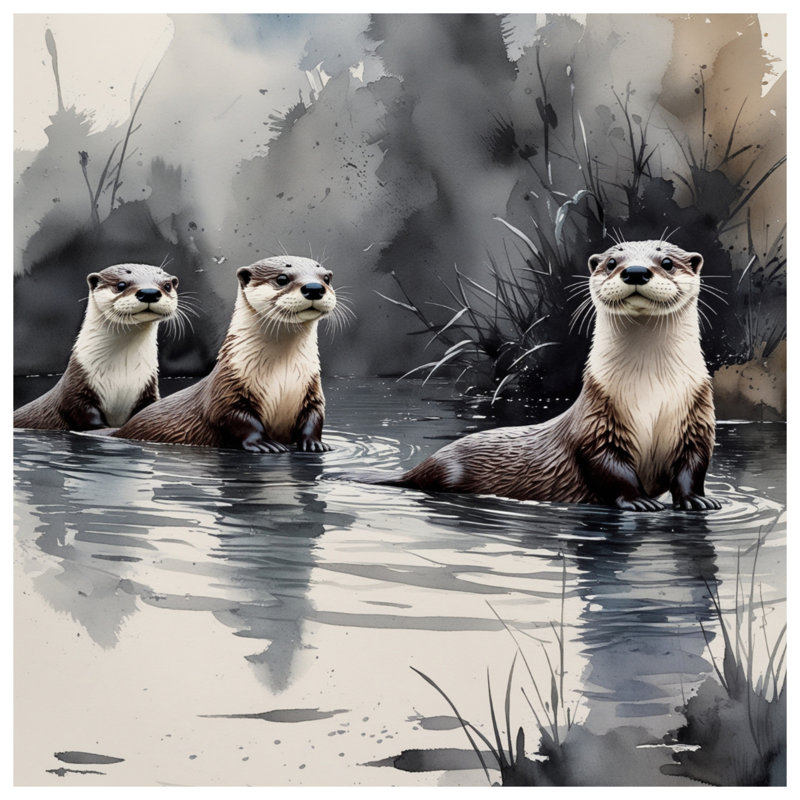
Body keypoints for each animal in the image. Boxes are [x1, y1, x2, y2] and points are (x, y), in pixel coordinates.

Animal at [14, 263, 181, 431]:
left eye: (167, 286)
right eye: (121, 285)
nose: (149, 293)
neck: (121, 376)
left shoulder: (147, 389)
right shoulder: (75, 390)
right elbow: (83, 413)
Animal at [113, 255, 337, 452]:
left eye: (326, 278)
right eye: (282, 279)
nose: (314, 288)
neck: (282, 377)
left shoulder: (311, 390)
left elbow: (315, 417)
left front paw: (315, 443)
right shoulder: (227, 389)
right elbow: (238, 419)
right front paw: (265, 444)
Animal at [388, 240, 720, 512]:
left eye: (667, 262)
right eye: (612, 262)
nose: (635, 271)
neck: (651, 391)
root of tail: (423, 465)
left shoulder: (697, 422)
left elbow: (693, 466)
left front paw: (697, 500)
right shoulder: (596, 425)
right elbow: (610, 469)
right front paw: (639, 501)